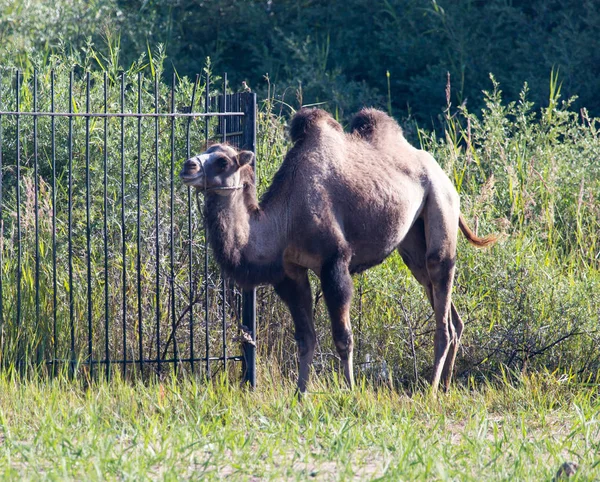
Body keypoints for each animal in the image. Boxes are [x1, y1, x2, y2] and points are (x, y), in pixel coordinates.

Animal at [179, 107, 496, 394]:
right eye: (206, 151)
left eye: (222, 161)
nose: (187, 166)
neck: (287, 217)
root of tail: (443, 174)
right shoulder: (290, 272)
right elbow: (305, 338)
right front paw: (300, 394)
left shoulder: (334, 263)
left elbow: (343, 336)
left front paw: (350, 390)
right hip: (413, 243)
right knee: (448, 311)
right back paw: (446, 385)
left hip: (441, 207)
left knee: (441, 296)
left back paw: (431, 389)